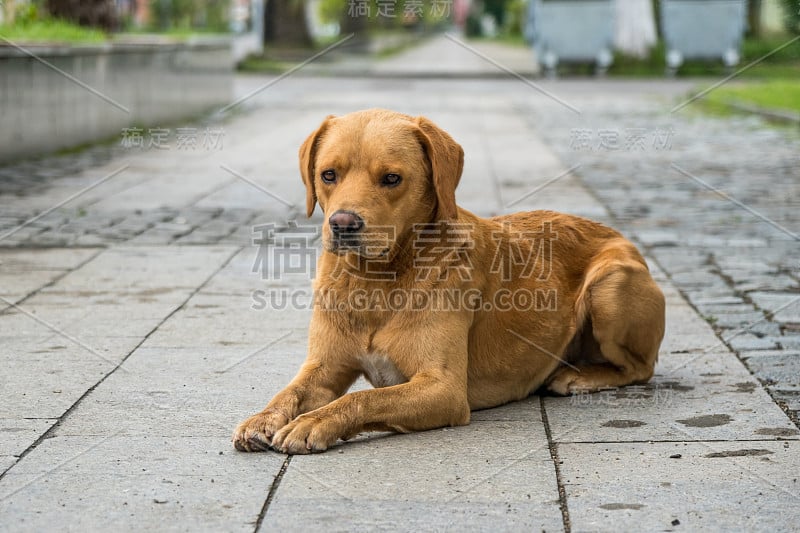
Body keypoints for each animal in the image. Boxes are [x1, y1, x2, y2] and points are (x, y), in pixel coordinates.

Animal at [234, 109, 664, 454]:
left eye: (391, 178)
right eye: (328, 174)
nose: (342, 223)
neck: (377, 281)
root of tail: (623, 236)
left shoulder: (443, 388)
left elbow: (363, 400)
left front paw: (314, 422)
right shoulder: (324, 367)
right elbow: (289, 392)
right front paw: (263, 418)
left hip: (610, 285)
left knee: (640, 368)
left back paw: (580, 377)